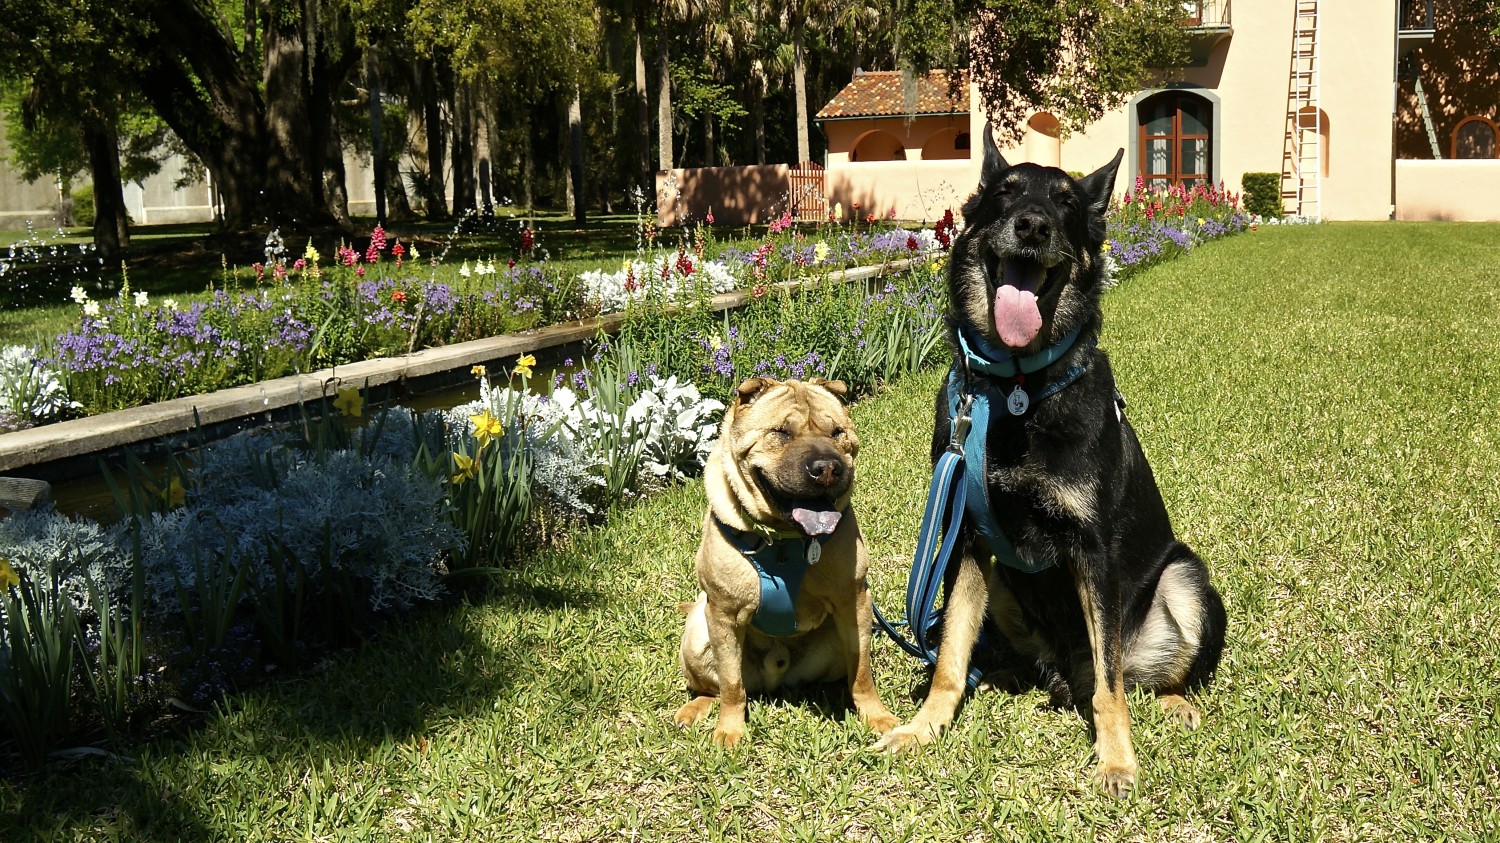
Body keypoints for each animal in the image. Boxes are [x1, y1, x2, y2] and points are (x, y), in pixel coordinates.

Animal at [675, 375, 894, 741]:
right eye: (781, 432)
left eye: (837, 433)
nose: (828, 468)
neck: (783, 540)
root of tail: (775, 678)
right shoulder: (723, 614)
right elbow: (731, 685)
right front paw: (729, 730)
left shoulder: (854, 602)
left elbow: (862, 669)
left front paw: (875, 715)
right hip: (697, 636)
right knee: (717, 687)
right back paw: (695, 708)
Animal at [876, 131, 1224, 792]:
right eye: (1006, 192)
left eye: (1065, 203)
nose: (1032, 225)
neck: (1017, 392)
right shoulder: (968, 543)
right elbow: (950, 657)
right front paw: (925, 727)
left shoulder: (1094, 551)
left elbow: (1110, 690)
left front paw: (1116, 759)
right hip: (1005, 588)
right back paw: (1008, 676)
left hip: (1184, 578)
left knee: (1136, 674)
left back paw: (1175, 702)